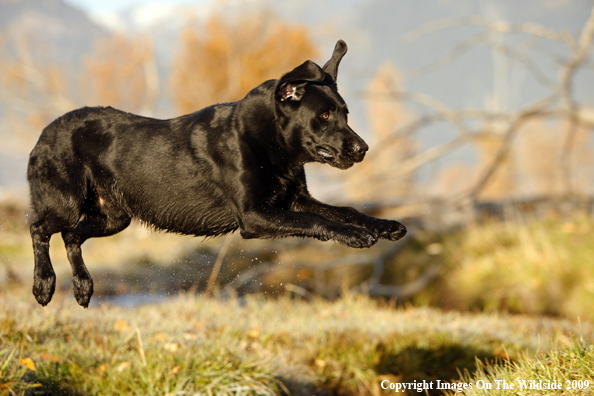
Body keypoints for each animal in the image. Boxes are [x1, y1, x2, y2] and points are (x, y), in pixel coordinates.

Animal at [28, 39, 408, 306]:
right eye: (325, 116)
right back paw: (43, 285)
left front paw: (384, 225)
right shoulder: (254, 216)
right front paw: (355, 235)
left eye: (345, 113)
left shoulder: (294, 200)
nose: (363, 148)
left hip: (114, 217)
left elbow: (346, 210)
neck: (265, 139)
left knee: (71, 236)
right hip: (65, 202)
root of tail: (45, 131)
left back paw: (82, 287)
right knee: (39, 229)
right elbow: (318, 221)